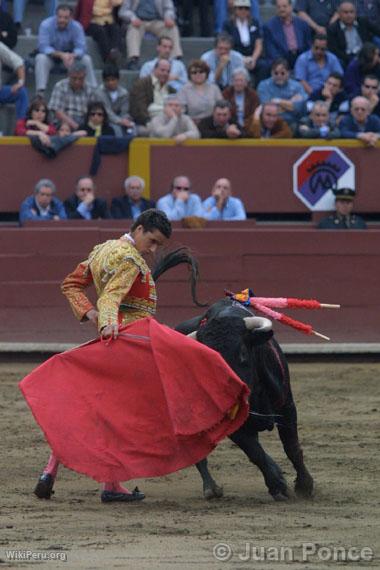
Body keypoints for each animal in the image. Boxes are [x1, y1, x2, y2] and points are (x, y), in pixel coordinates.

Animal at [174, 300, 314, 500]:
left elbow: (291, 446)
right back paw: (211, 488)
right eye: (206, 362)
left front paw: (304, 486)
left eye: (243, 354)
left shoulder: (287, 406)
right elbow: (255, 452)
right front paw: (278, 485)